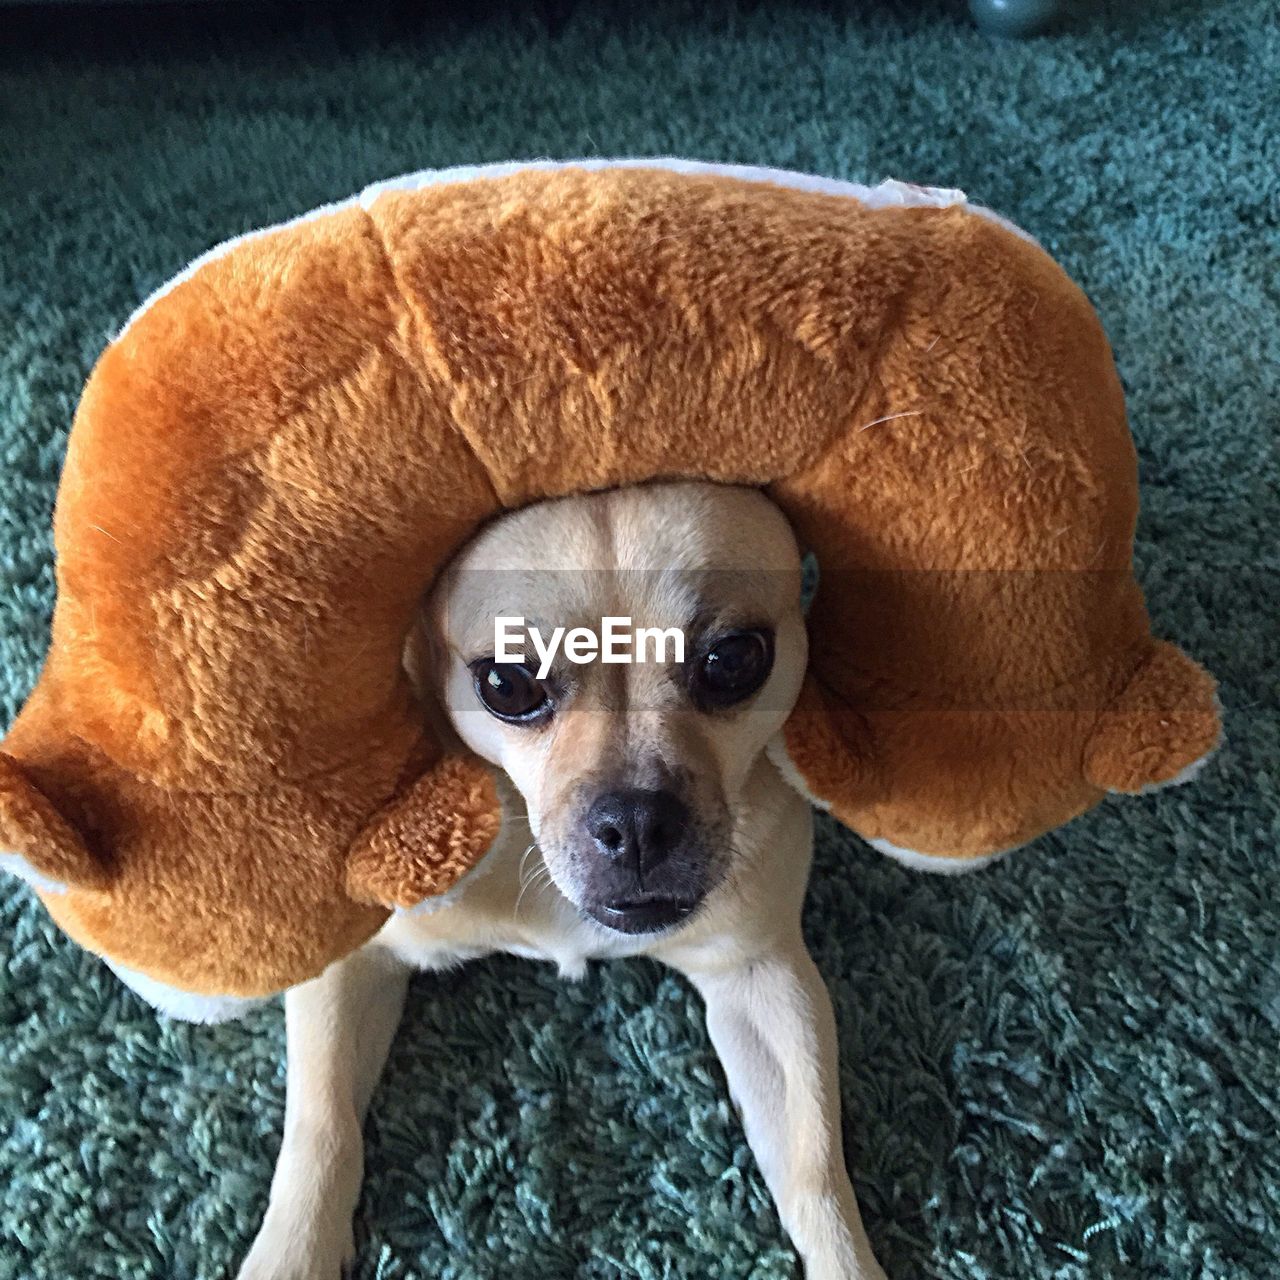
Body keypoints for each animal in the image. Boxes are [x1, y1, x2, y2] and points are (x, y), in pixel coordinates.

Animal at [232, 481, 890, 1280]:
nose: (636, 821)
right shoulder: (354, 959)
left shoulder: (762, 978)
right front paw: (289, 1255)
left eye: (734, 659)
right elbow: (321, 1125)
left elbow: (814, 1167)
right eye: (506, 684)